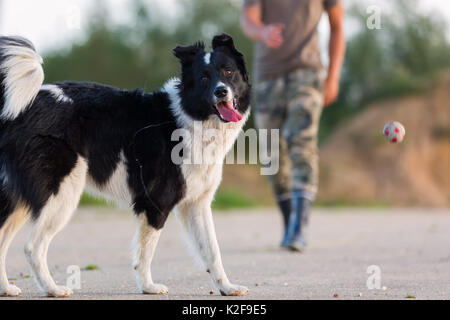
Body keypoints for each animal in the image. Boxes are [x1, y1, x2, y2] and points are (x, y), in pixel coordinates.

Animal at [0, 33, 250, 296]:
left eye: (229, 72)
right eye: (204, 78)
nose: (221, 91)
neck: (189, 117)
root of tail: (26, 105)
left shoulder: (197, 204)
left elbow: (212, 250)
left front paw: (227, 287)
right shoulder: (155, 203)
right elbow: (146, 252)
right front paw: (149, 287)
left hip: (23, 198)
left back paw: (7, 288)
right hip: (61, 194)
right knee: (32, 247)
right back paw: (53, 289)